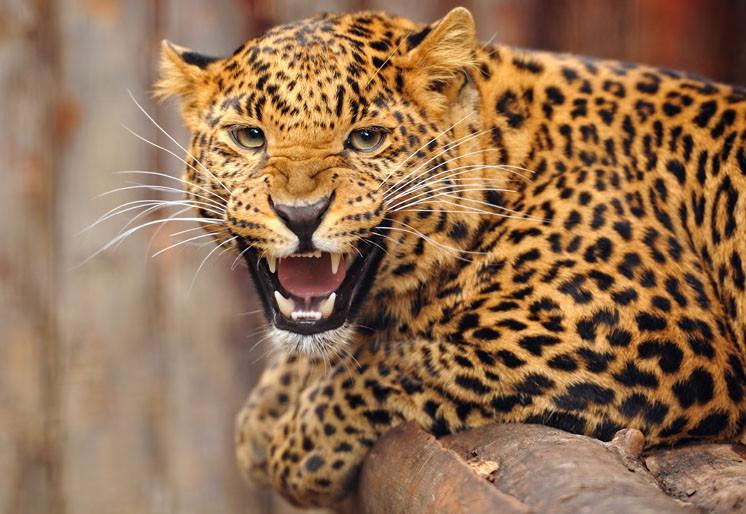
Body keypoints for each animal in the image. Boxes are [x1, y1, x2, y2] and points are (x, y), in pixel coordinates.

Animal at [155, 7, 746, 509]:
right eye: (249, 137)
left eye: (366, 139)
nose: (301, 214)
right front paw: (265, 415)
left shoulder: (645, 335)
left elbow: (410, 358)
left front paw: (299, 444)